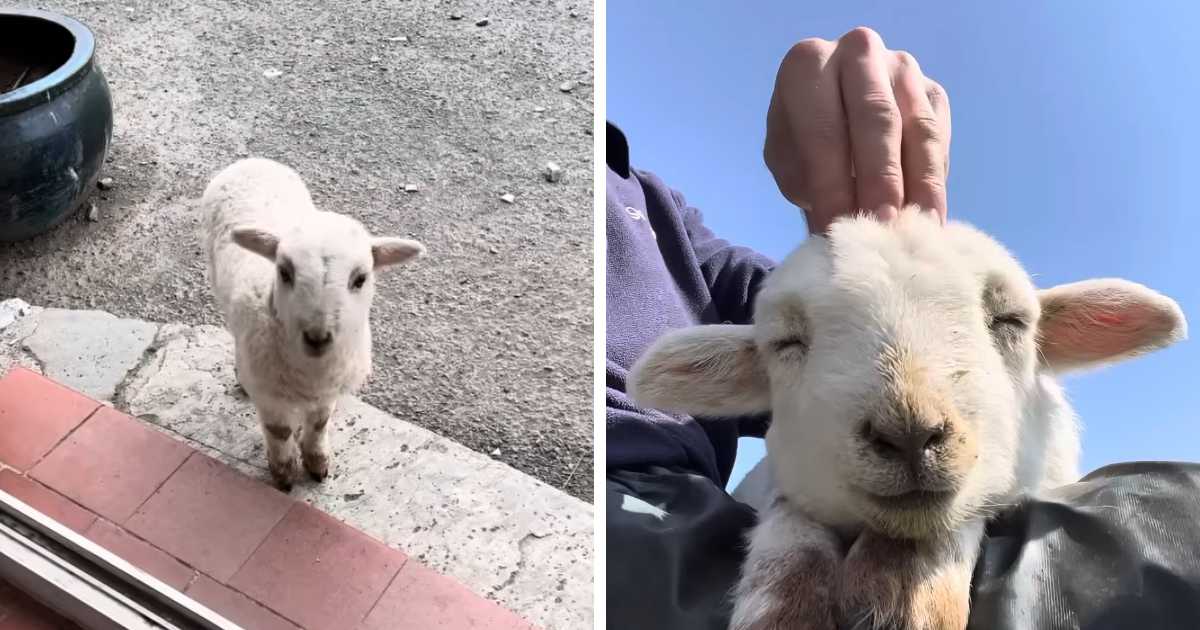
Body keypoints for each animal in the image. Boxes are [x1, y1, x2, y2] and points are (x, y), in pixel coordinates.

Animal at [200, 158, 425, 491]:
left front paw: (317, 463)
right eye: (284, 272)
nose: (317, 337)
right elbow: (278, 432)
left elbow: (319, 424)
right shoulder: (269, 393)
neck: (310, 372)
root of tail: (252, 161)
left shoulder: (328, 390)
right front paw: (284, 473)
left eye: (361, 278)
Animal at [629, 208, 1187, 630]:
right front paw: (785, 609)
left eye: (1011, 321)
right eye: (786, 343)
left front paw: (899, 589)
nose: (909, 434)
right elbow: (790, 523)